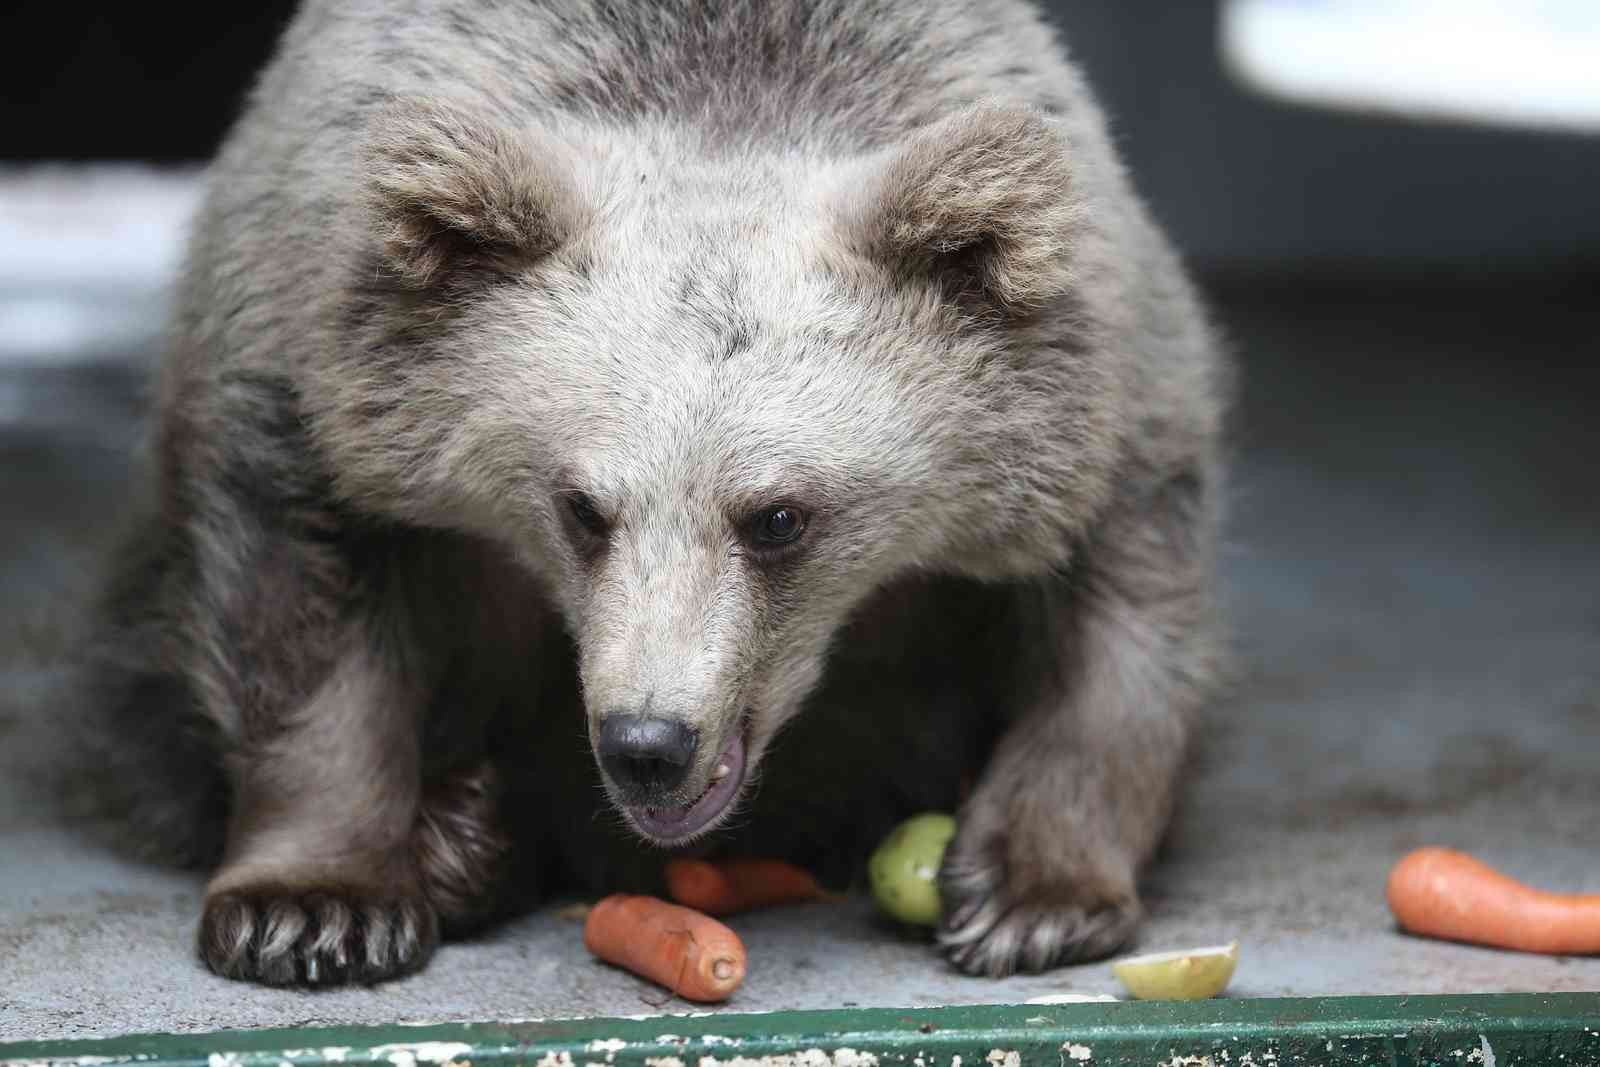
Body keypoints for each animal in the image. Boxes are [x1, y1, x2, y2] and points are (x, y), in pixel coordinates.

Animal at [72, 0, 1222, 991]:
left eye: (778, 516)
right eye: (581, 505)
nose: (648, 746)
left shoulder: (1106, 403)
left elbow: (1117, 622)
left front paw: (1029, 897)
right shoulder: (308, 367)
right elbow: (300, 616)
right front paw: (313, 907)